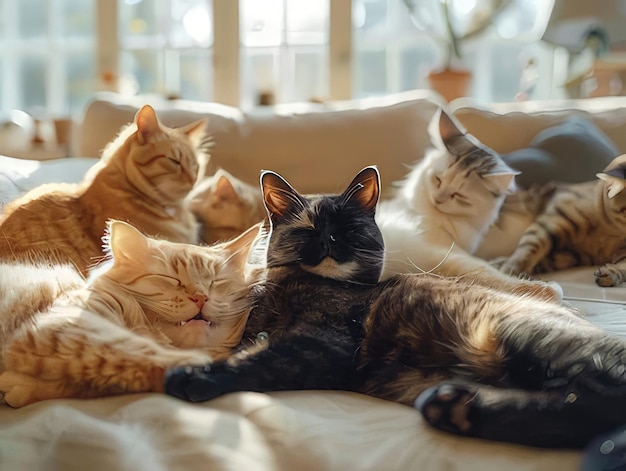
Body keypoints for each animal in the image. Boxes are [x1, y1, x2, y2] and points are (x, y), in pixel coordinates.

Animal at [372, 109, 560, 302]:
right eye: (438, 180)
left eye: (458, 195)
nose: (437, 199)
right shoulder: (445, 253)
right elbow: (493, 275)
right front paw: (548, 290)